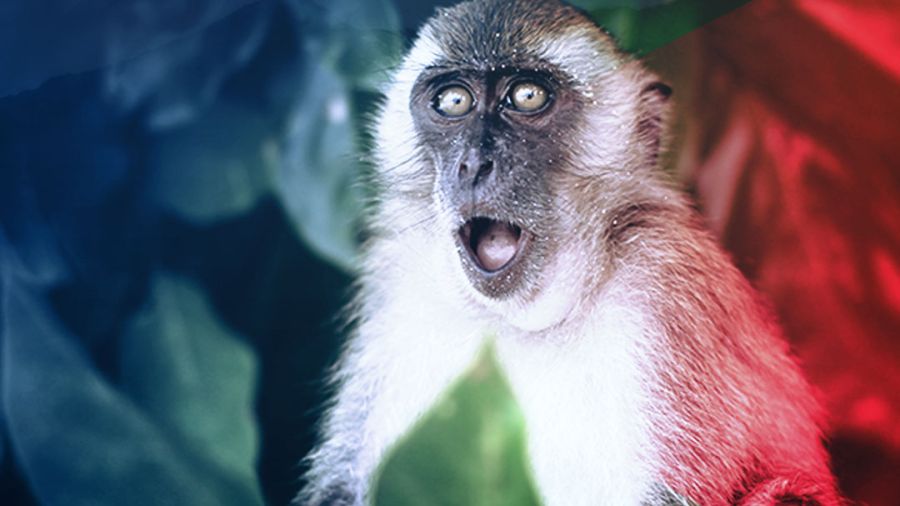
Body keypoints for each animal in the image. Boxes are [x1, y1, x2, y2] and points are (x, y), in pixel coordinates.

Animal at [297, 0, 841, 504]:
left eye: (527, 96)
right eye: (453, 100)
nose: (473, 163)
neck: (519, 322)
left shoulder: (665, 282)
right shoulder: (394, 280)